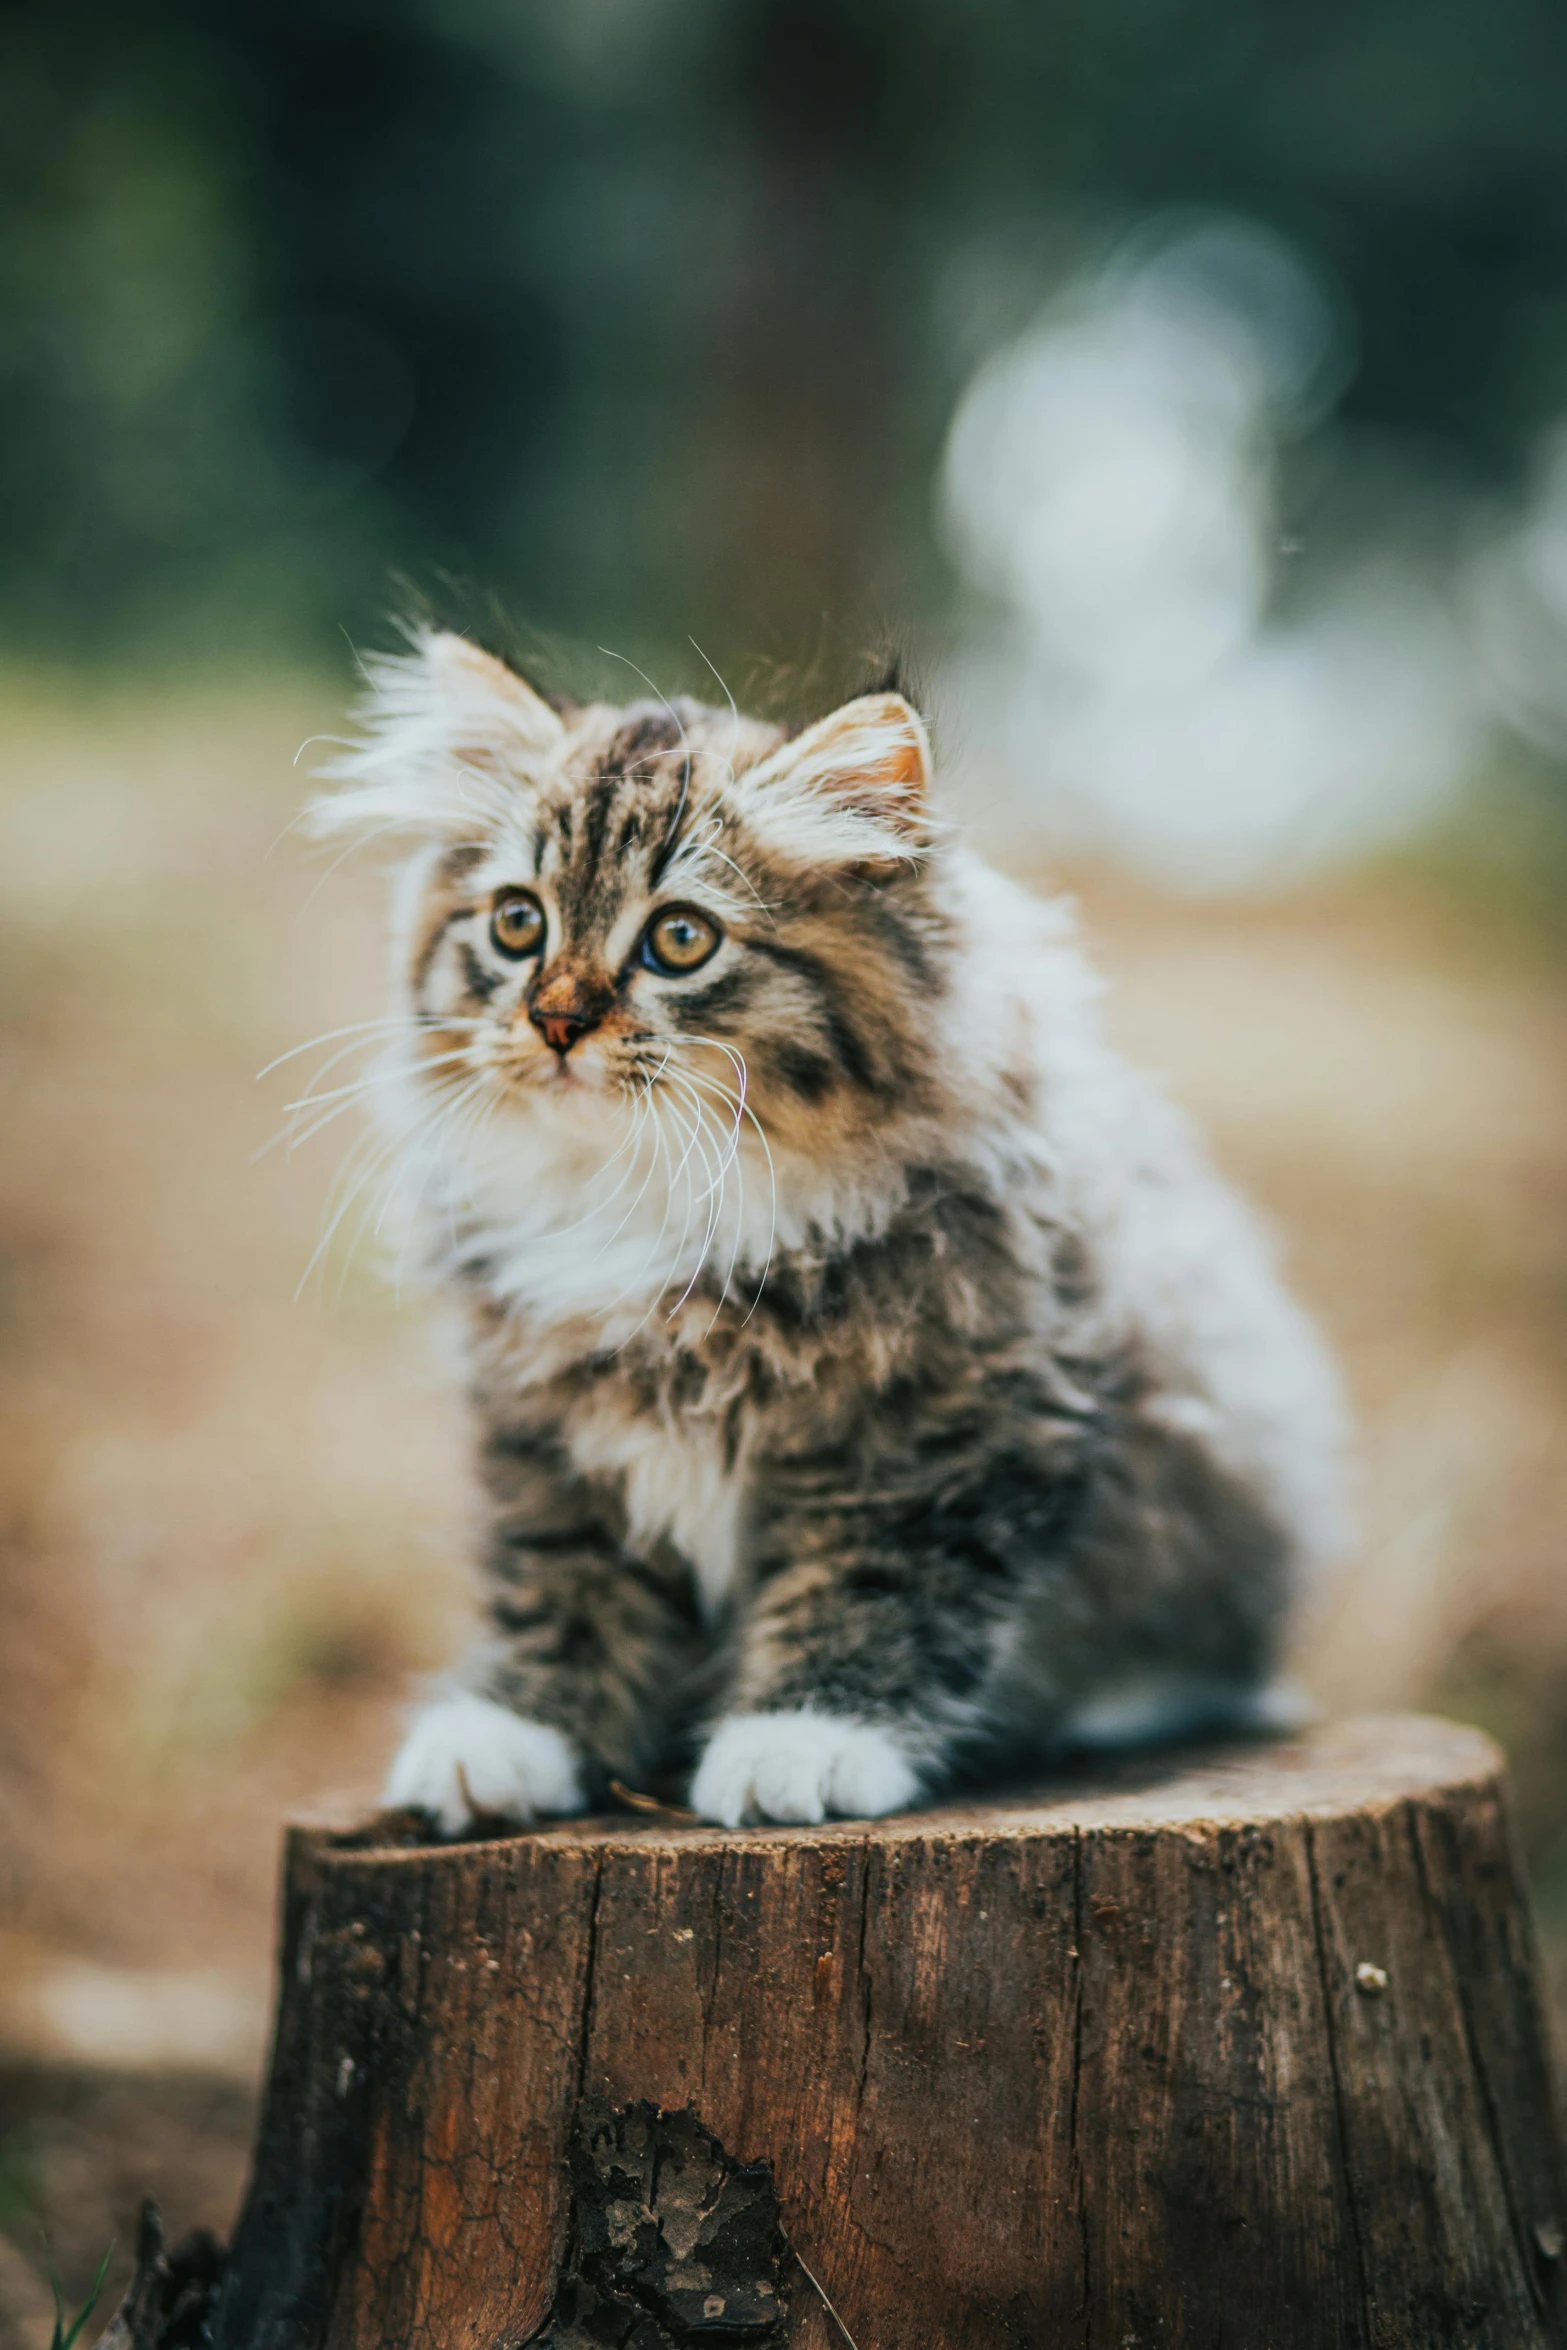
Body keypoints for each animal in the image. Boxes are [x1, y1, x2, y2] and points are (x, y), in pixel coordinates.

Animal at [305, 629, 1353, 1832]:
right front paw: (513, 1732)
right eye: (517, 922)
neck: (641, 1198)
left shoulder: (951, 1423)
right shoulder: (546, 1438)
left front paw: (799, 1744)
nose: (556, 1020)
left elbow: (871, 1585)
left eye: (679, 938)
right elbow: (559, 1582)